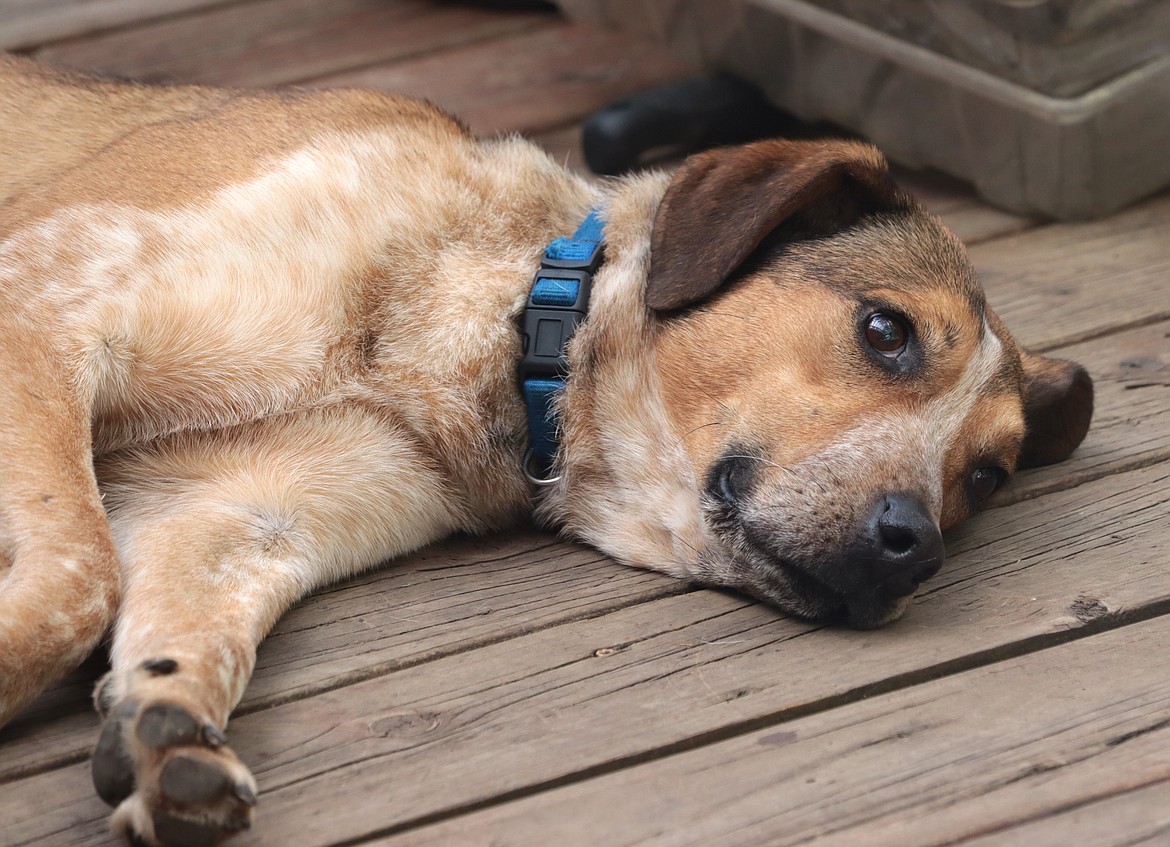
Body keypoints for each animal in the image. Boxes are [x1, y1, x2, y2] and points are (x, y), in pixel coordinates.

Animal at [2, 54, 1095, 846]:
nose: (917, 545)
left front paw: (164, 732)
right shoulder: (42, 293)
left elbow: (180, 625)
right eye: (885, 331)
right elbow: (78, 579)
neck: (506, 314)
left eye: (986, 475)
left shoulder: (231, 512)